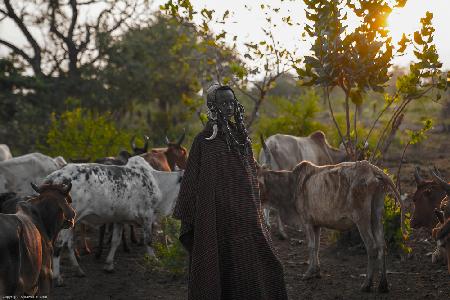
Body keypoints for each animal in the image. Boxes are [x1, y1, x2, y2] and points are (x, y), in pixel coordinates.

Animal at [46, 156, 184, 284]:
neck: (159, 183)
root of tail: (56, 176)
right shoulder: (147, 216)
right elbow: (148, 240)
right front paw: (154, 260)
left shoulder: (120, 219)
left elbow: (115, 241)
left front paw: (109, 265)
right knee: (58, 244)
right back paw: (57, 277)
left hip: (73, 222)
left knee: (69, 244)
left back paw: (78, 270)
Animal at [256, 161, 404, 292]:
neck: (291, 184)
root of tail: (372, 169)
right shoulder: (316, 224)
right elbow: (316, 246)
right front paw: (317, 272)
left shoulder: (306, 221)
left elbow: (311, 246)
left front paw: (309, 273)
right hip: (376, 214)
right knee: (381, 245)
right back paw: (383, 285)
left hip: (361, 218)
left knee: (371, 247)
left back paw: (366, 284)